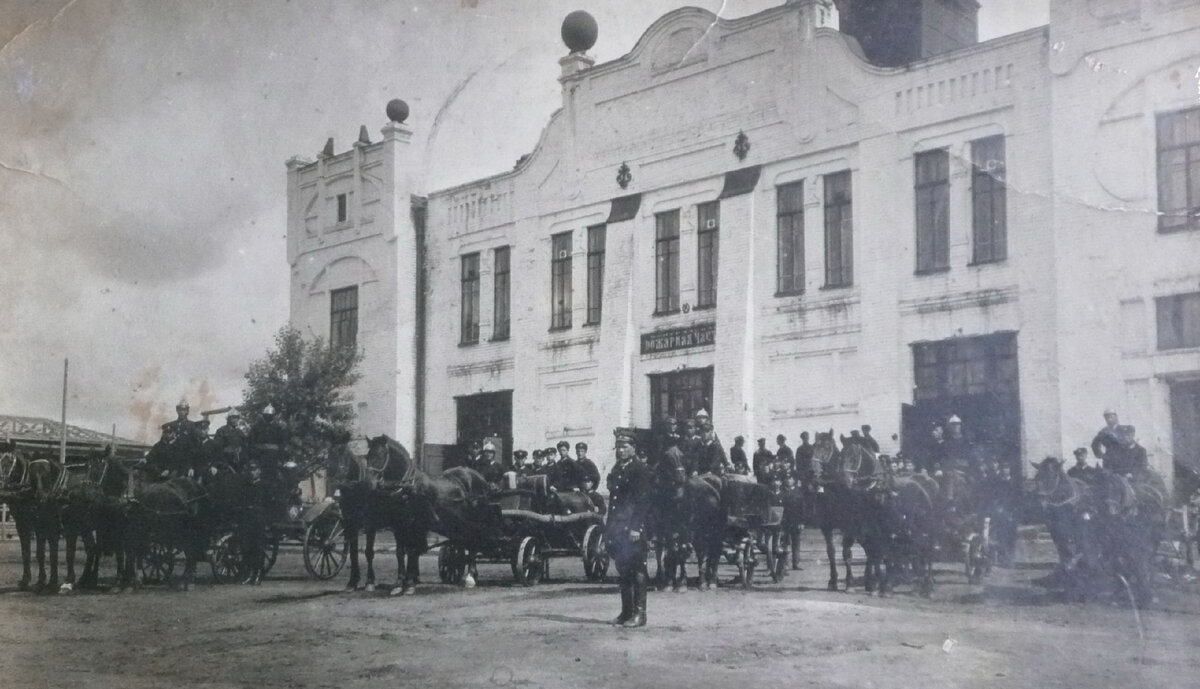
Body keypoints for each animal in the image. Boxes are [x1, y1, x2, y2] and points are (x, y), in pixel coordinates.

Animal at [367, 436, 494, 595]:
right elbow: (400, 553)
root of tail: (479, 477)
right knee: (465, 542)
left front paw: (409, 584)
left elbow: (412, 551)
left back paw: (470, 577)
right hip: (459, 523)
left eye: (380, 455)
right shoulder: (399, 526)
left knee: (473, 542)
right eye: (367, 456)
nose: (370, 483)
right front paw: (398, 584)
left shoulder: (416, 525)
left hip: (476, 520)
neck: (408, 486)